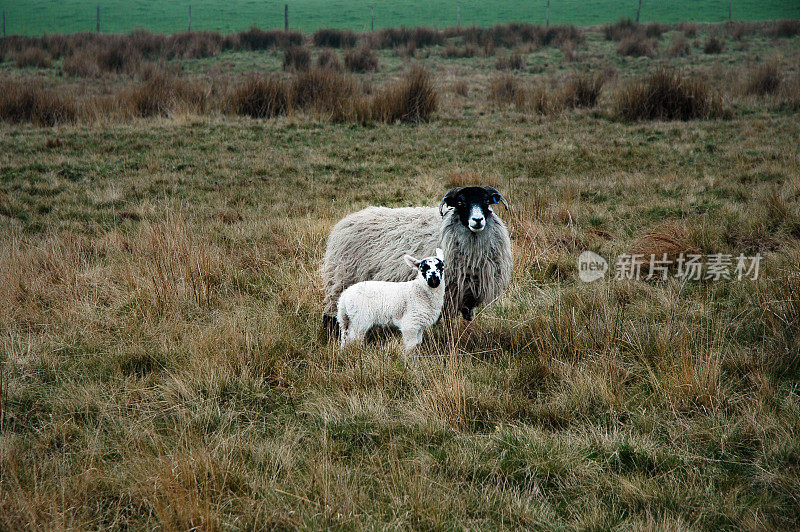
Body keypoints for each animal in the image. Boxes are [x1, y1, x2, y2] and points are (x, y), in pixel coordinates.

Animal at [320, 186, 512, 328]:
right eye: (460, 202)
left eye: (486, 201)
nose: (477, 220)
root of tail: (344, 222)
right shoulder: (448, 293)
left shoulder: (465, 294)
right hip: (342, 277)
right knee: (332, 314)